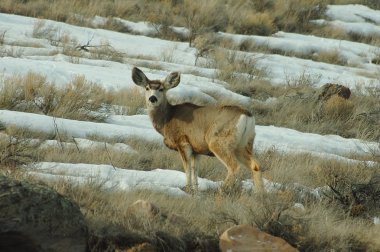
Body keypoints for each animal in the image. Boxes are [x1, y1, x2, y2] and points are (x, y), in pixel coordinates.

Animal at [132, 66, 266, 193]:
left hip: (219, 142)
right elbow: (195, 170)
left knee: (234, 166)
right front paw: (195, 191)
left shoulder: (183, 142)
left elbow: (187, 169)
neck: (168, 119)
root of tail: (247, 115)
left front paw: (188, 189)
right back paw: (260, 195)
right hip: (244, 145)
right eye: (147, 88)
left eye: (161, 89)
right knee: (256, 165)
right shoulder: (197, 149)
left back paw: (221, 192)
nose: (152, 98)